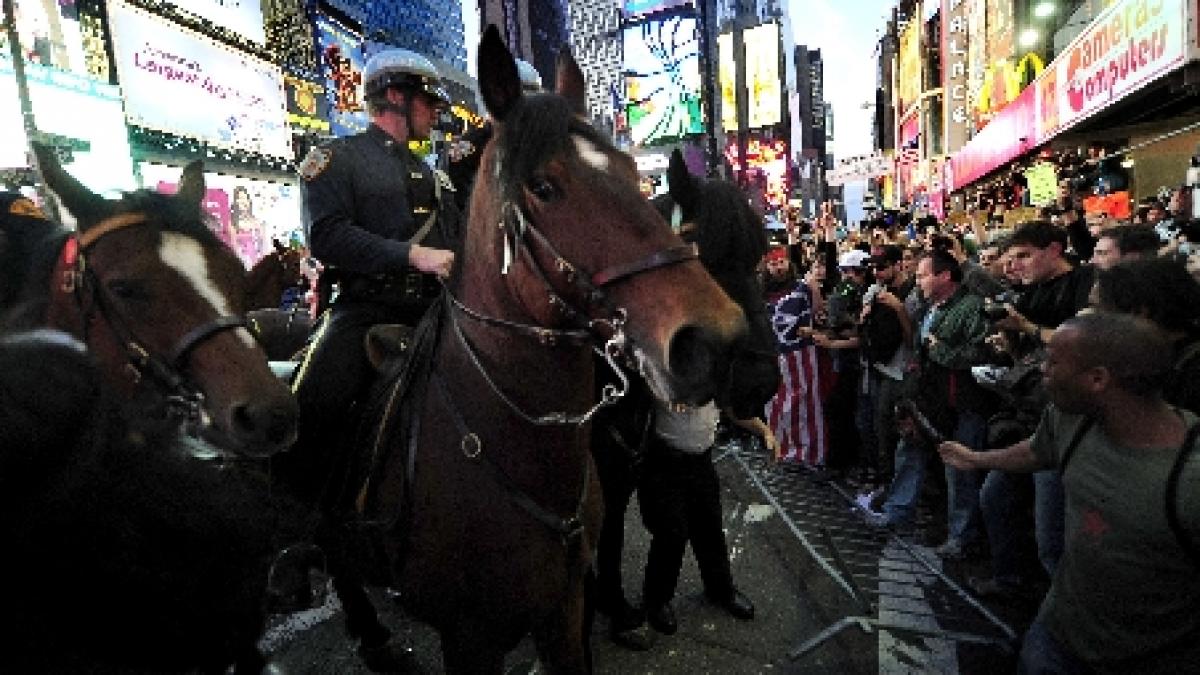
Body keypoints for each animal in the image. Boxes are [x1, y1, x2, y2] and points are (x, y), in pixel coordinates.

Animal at [274, 26, 748, 667]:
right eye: (543, 187)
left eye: (632, 172)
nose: (714, 340)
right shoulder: (470, 636)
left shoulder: (564, 606)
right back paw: (369, 634)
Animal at [588, 147, 777, 634]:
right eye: (701, 252)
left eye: (759, 257)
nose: (761, 382)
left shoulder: (622, 465)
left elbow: (611, 530)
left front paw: (616, 608)